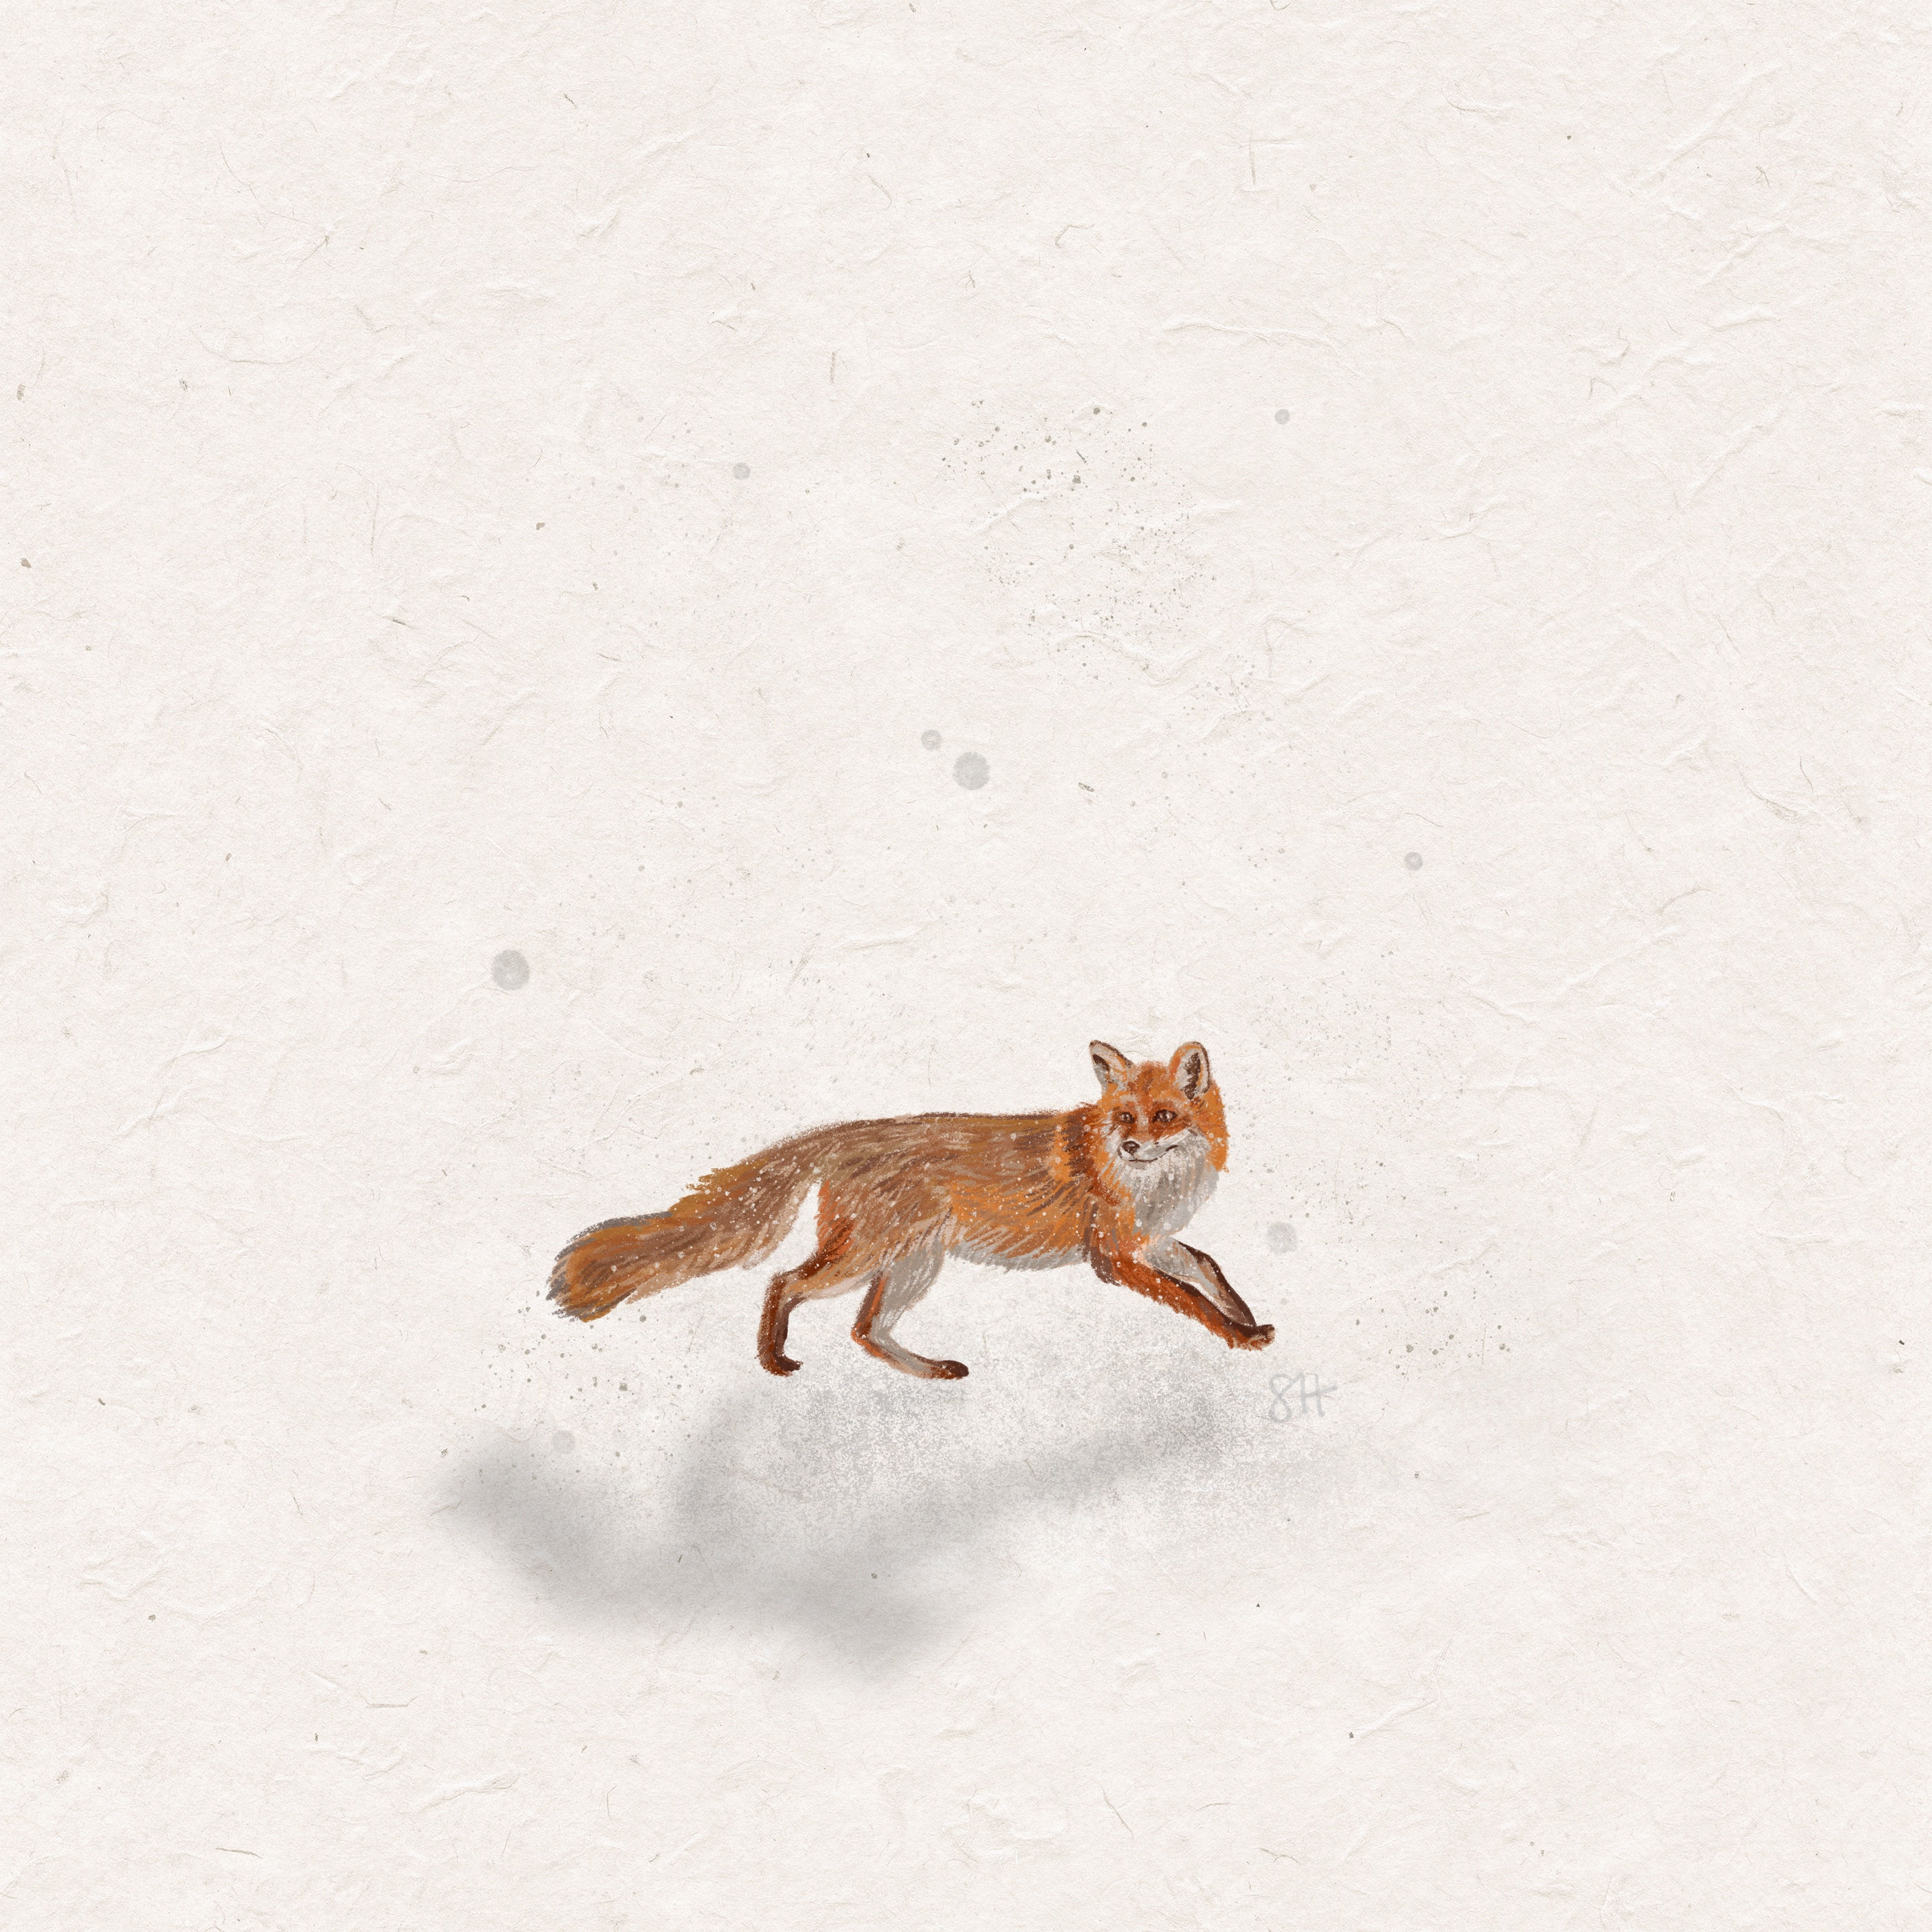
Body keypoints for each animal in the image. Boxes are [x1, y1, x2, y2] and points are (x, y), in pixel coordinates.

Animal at [548, 1040, 1274, 1379]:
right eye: (1125, 1116)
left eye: (1164, 1117)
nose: (1129, 1145)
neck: (1153, 1183)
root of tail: (849, 1133)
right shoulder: (1114, 1257)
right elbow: (1194, 1300)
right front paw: (1236, 1336)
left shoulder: (1149, 1243)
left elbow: (1209, 1268)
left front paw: (1250, 1321)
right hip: (872, 1258)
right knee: (785, 1282)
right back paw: (774, 1361)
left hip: (911, 1265)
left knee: (865, 1331)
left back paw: (931, 1372)